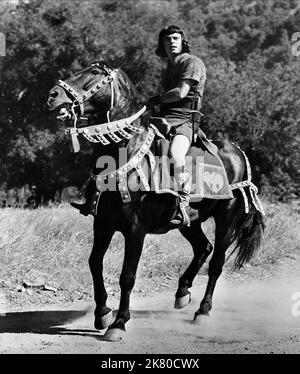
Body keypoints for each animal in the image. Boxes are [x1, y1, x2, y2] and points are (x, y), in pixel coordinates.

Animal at [47, 61, 264, 342]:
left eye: (94, 73)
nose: (53, 95)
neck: (124, 151)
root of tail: (238, 152)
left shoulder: (135, 230)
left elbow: (127, 276)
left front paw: (118, 323)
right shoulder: (103, 224)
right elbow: (94, 263)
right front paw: (102, 312)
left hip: (227, 218)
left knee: (216, 262)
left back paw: (202, 311)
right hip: (189, 222)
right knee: (203, 248)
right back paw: (182, 293)